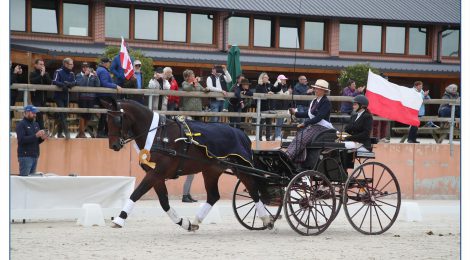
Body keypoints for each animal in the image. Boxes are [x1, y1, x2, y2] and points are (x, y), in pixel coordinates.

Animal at [101, 98, 274, 231]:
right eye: (106, 120)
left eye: (117, 120)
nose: (114, 145)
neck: (158, 136)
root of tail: (242, 133)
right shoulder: (156, 175)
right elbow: (164, 202)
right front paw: (184, 223)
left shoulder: (157, 172)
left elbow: (136, 194)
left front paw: (119, 219)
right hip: (211, 170)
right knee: (213, 196)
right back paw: (197, 221)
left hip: (241, 168)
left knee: (253, 191)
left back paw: (266, 219)